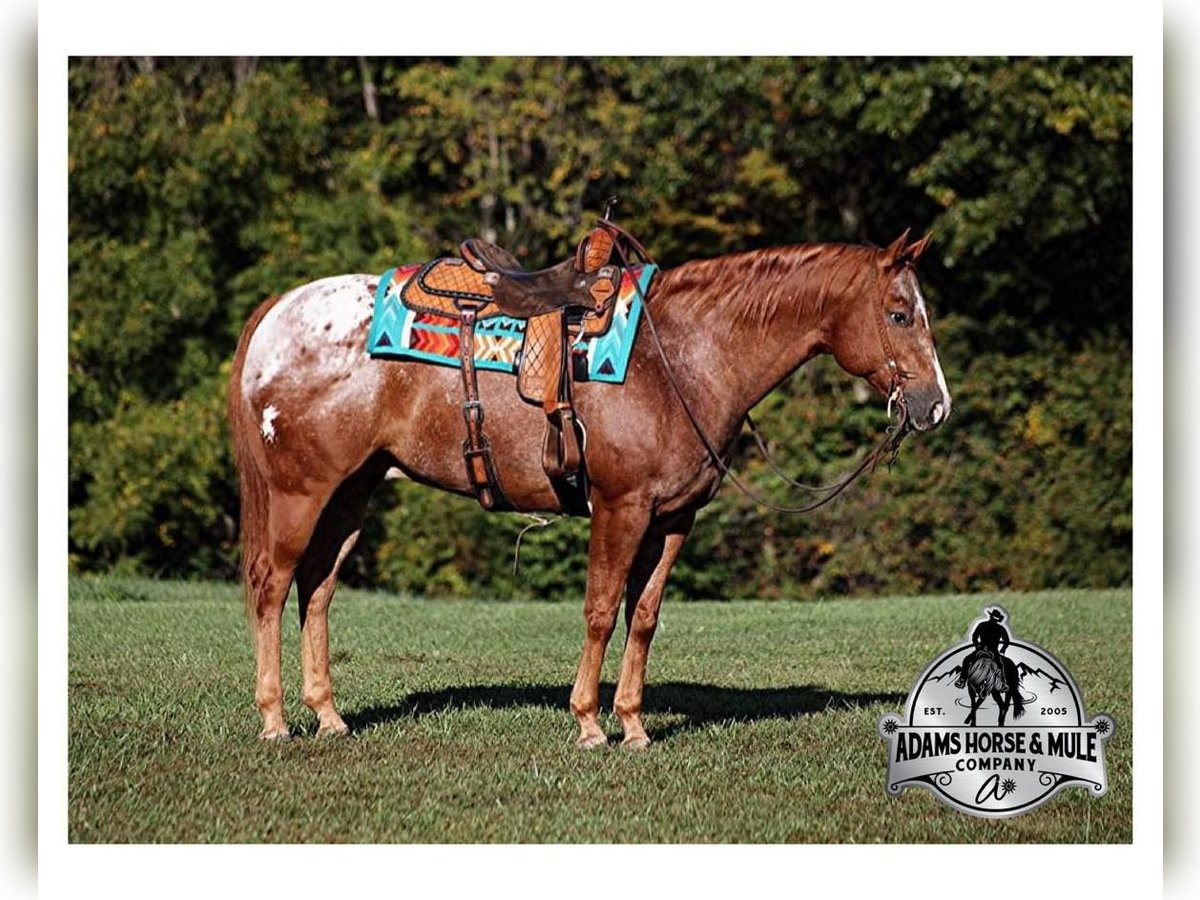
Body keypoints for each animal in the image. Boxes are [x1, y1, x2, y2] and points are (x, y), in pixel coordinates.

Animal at [229, 230, 950, 748]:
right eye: (898, 314)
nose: (935, 406)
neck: (680, 358)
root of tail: (277, 313)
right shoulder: (620, 507)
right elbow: (601, 611)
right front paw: (589, 723)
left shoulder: (673, 519)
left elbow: (645, 617)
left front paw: (632, 725)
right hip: (300, 492)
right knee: (272, 585)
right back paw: (275, 721)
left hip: (352, 492)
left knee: (318, 589)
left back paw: (329, 717)